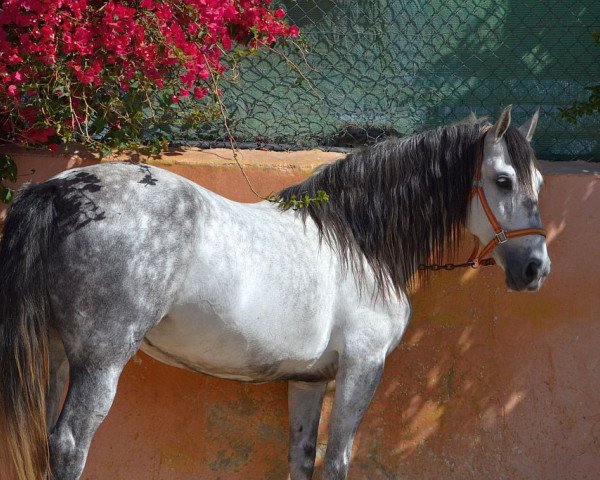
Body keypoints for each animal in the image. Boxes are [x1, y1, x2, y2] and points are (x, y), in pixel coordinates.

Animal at [0, 107, 552, 478]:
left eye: (540, 182)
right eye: (503, 180)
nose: (536, 268)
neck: (360, 241)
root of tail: (60, 190)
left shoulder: (308, 381)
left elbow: (302, 461)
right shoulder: (363, 367)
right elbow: (337, 462)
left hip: (58, 355)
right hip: (101, 360)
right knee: (70, 442)